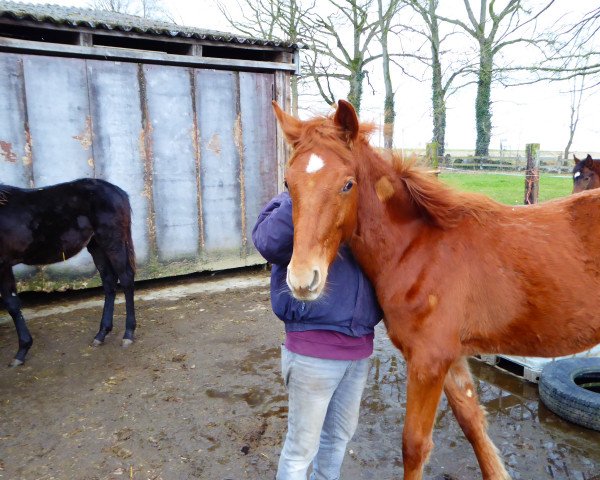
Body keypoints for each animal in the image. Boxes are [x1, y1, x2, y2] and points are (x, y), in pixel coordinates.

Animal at [0, 179, 136, 368]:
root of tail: (118, 191)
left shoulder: (3, 264)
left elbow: (12, 305)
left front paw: (22, 350)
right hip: (96, 245)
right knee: (109, 281)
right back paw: (101, 333)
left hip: (112, 241)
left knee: (126, 278)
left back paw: (128, 334)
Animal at [274, 98, 600, 480]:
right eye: (288, 183)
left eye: (347, 184)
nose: (302, 279)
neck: (420, 248)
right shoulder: (452, 358)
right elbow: (474, 426)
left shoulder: (428, 361)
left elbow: (414, 446)